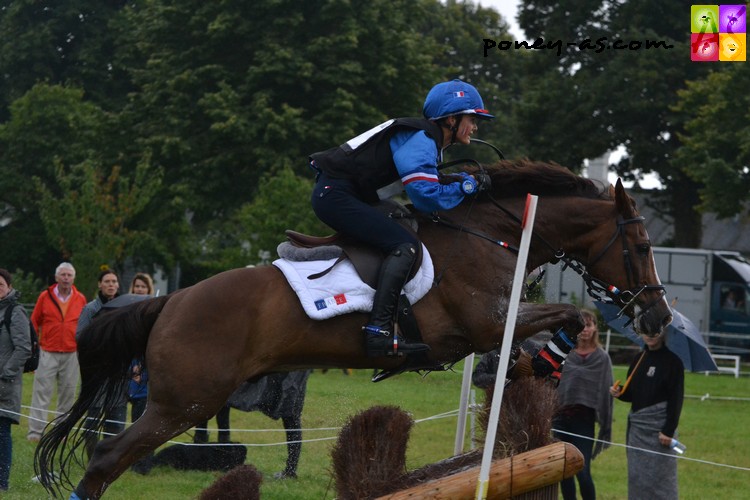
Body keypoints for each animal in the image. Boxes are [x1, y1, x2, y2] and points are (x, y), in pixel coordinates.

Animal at [35, 159, 672, 496]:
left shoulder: (490, 330)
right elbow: (572, 316)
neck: (491, 237)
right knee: (106, 456)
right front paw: (547, 360)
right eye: (642, 247)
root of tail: (169, 301)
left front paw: (528, 369)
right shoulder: (482, 325)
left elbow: (534, 342)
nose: (659, 317)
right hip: (185, 401)